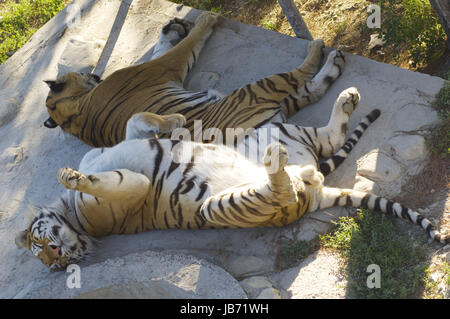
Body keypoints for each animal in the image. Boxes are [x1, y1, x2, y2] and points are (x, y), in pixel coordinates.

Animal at [15, 87, 448, 270]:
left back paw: (348, 98)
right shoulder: (127, 193)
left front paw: (174, 121)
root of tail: (318, 190)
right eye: (48, 257)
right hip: (220, 204)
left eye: (41, 244)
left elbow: (137, 120)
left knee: (332, 136)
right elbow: (110, 180)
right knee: (285, 187)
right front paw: (72, 177)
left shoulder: (118, 142)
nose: (56, 255)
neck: (70, 217)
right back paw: (284, 170)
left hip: (275, 131)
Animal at [42, 11, 344, 148]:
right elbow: (185, 46)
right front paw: (206, 19)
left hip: (277, 104)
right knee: (303, 77)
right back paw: (319, 49)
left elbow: (164, 46)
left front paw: (173, 27)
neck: (74, 112)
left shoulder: (157, 64)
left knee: (312, 89)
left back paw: (334, 62)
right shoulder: (162, 67)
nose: (91, 73)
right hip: (255, 92)